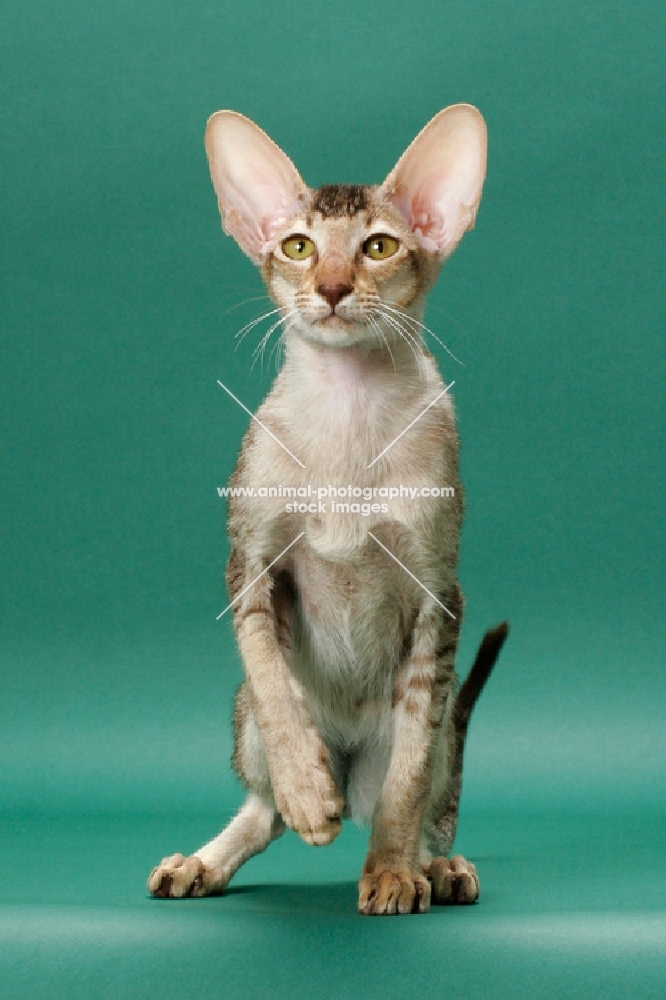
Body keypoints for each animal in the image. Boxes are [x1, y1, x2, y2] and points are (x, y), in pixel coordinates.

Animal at [148, 103, 506, 916]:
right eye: (298, 246)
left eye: (378, 247)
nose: (335, 287)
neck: (348, 412)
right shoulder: (249, 566)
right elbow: (272, 679)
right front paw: (307, 791)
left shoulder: (440, 595)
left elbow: (408, 777)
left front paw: (393, 874)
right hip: (241, 718)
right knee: (263, 807)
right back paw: (214, 855)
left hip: (438, 725)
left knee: (420, 791)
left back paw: (436, 866)